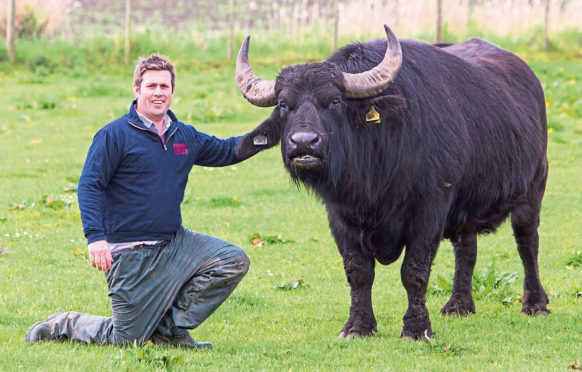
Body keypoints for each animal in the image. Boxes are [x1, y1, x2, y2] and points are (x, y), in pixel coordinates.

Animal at [234, 25, 552, 340]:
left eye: (335, 101)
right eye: (284, 105)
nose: (303, 144)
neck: (374, 178)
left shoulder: (430, 209)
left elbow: (414, 272)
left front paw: (416, 328)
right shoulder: (339, 216)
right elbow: (358, 272)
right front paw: (358, 326)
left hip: (534, 188)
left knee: (528, 244)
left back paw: (535, 304)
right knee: (466, 249)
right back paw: (458, 305)